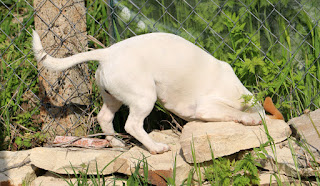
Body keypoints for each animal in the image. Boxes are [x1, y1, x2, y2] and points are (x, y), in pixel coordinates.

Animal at [33, 31, 268, 154]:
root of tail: (107, 53)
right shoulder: (207, 107)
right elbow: (233, 112)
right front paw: (250, 119)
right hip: (145, 98)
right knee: (132, 125)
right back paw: (155, 147)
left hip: (113, 98)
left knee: (105, 117)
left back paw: (116, 143)